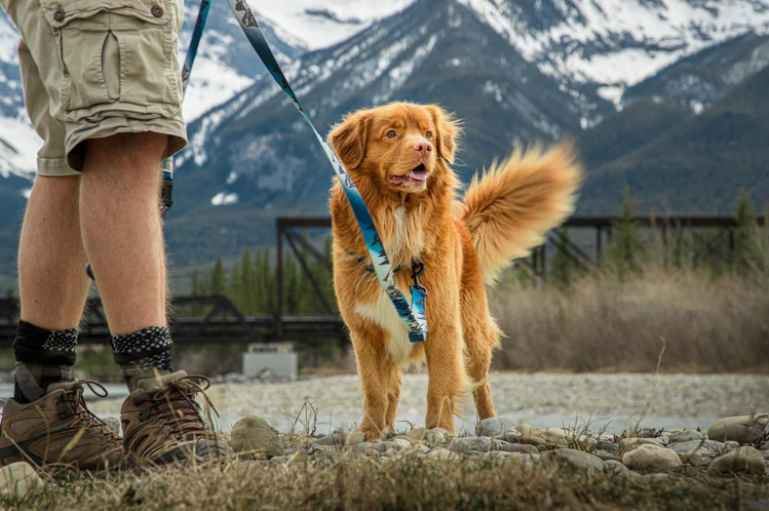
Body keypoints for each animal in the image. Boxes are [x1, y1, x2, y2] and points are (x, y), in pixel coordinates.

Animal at [328, 101, 580, 440]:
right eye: (391, 133)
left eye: (428, 133)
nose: (424, 147)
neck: (398, 215)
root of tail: (462, 224)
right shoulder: (365, 331)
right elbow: (374, 389)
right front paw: (370, 431)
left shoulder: (442, 323)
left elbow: (440, 386)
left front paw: (438, 429)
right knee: (394, 386)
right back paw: (388, 426)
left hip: (473, 331)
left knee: (481, 384)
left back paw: (490, 423)